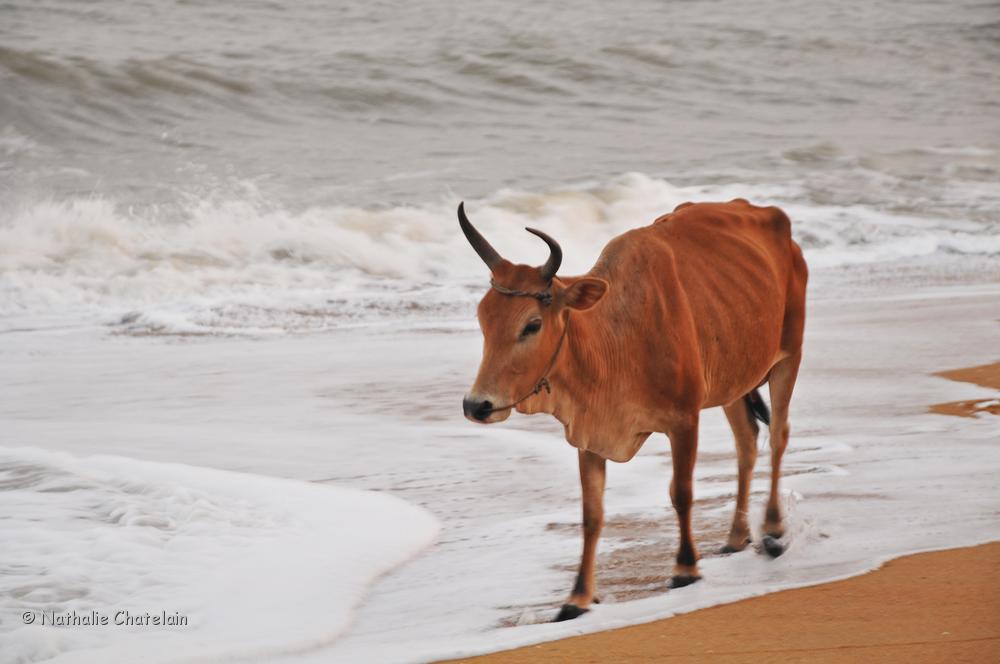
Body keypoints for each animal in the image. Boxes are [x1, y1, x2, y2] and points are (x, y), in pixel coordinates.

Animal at [458, 198, 808, 622]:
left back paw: (772, 529)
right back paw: (736, 536)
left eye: (532, 324)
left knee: (778, 437)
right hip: (733, 383)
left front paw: (685, 568)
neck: (617, 337)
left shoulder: (684, 420)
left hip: (788, 357)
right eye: (483, 319)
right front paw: (578, 596)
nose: (477, 404)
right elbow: (592, 516)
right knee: (747, 443)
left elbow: (681, 492)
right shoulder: (589, 436)